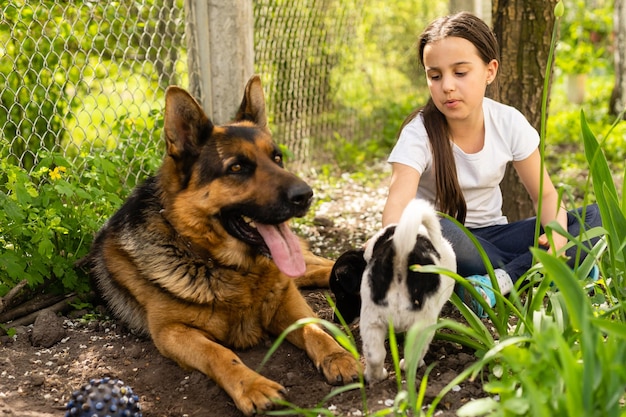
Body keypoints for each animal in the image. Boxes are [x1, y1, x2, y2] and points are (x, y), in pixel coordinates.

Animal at [84, 76, 356, 414]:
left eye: (277, 158)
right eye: (237, 168)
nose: (306, 195)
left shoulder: (287, 302)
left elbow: (314, 329)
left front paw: (339, 355)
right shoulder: (171, 332)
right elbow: (220, 354)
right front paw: (253, 386)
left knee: (324, 265)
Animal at [332, 198, 454, 384]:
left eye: (340, 295)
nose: (334, 319)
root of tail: (400, 256)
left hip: (372, 320)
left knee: (375, 355)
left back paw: (376, 376)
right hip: (423, 325)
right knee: (413, 354)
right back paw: (410, 366)